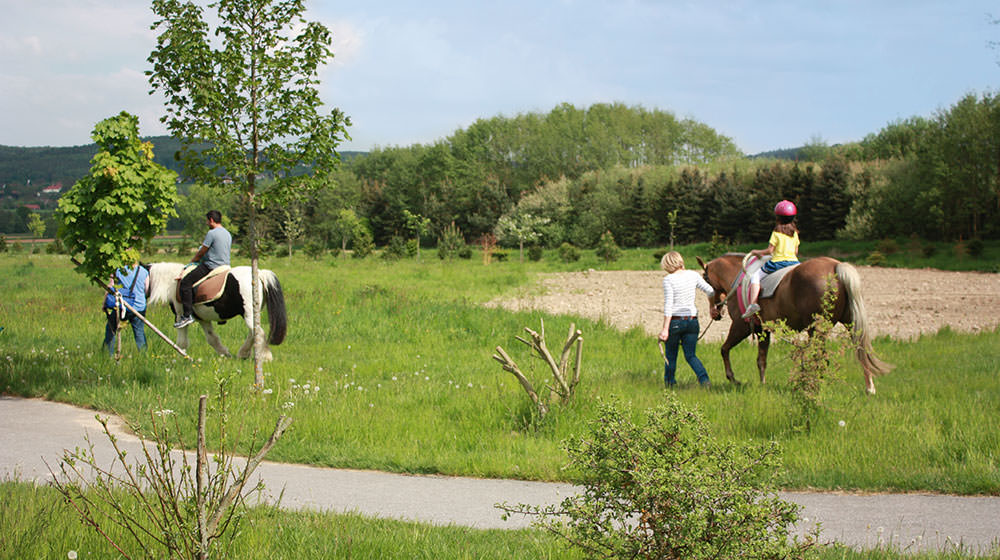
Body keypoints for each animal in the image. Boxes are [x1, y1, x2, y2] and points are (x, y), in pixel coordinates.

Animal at [146, 262, 287, 361]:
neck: (172, 282)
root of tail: (260, 273)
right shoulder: (203, 320)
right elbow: (211, 338)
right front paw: (224, 353)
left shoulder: (180, 315)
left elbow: (181, 342)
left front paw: (181, 357)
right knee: (253, 333)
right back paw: (243, 354)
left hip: (248, 314)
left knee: (258, 332)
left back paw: (264, 356)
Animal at [697, 253, 892, 394]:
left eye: (705, 280)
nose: (715, 312)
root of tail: (835, 267)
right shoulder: (762, 329)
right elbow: (761, 359)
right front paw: (762, 384)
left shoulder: (741, 326)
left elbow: (724, 349)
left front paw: (732, 378)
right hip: (850, 323)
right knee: (861, 350)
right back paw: (869, 387)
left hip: (816, 329)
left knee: (821, 357)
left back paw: (814, 385)